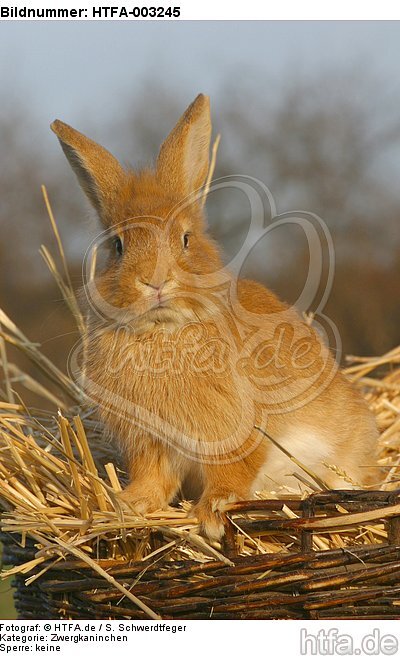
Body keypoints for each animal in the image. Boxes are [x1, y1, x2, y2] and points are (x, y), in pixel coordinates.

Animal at [50, 95, 378, 540]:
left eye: (186, 239)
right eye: (117, 246)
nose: (155, 281)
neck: (164, 329)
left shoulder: (238, 434)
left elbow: (233, 472)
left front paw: (212, 514)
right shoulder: (151, 444)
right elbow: (154, 479)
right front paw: (130, 505)